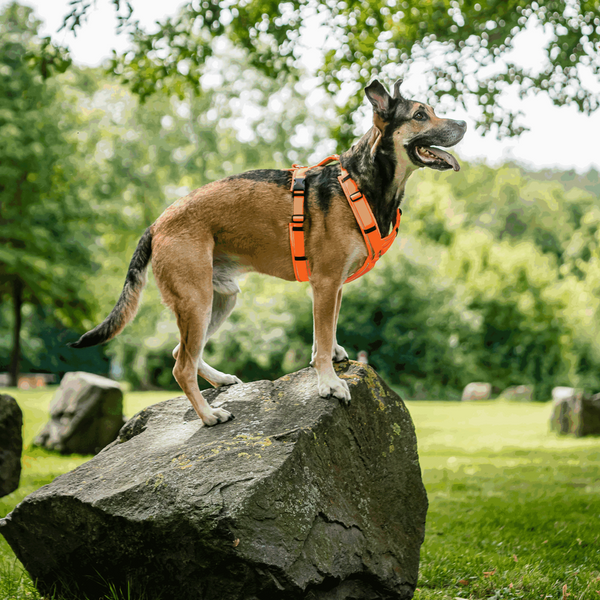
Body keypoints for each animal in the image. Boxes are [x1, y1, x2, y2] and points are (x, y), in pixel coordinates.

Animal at [69, 78, 464, 426]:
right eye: (419, 115)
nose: (463, 123)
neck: (359, 182)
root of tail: (157, 224)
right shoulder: (324, 283)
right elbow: (321, 340)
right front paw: (328, 383)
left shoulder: (334, 287)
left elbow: (327, 334)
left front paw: (333, 357)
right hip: (196, 301)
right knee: (181, 366)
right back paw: (209, 416)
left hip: (220, 300)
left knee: (181, 353)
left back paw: (220, 381)